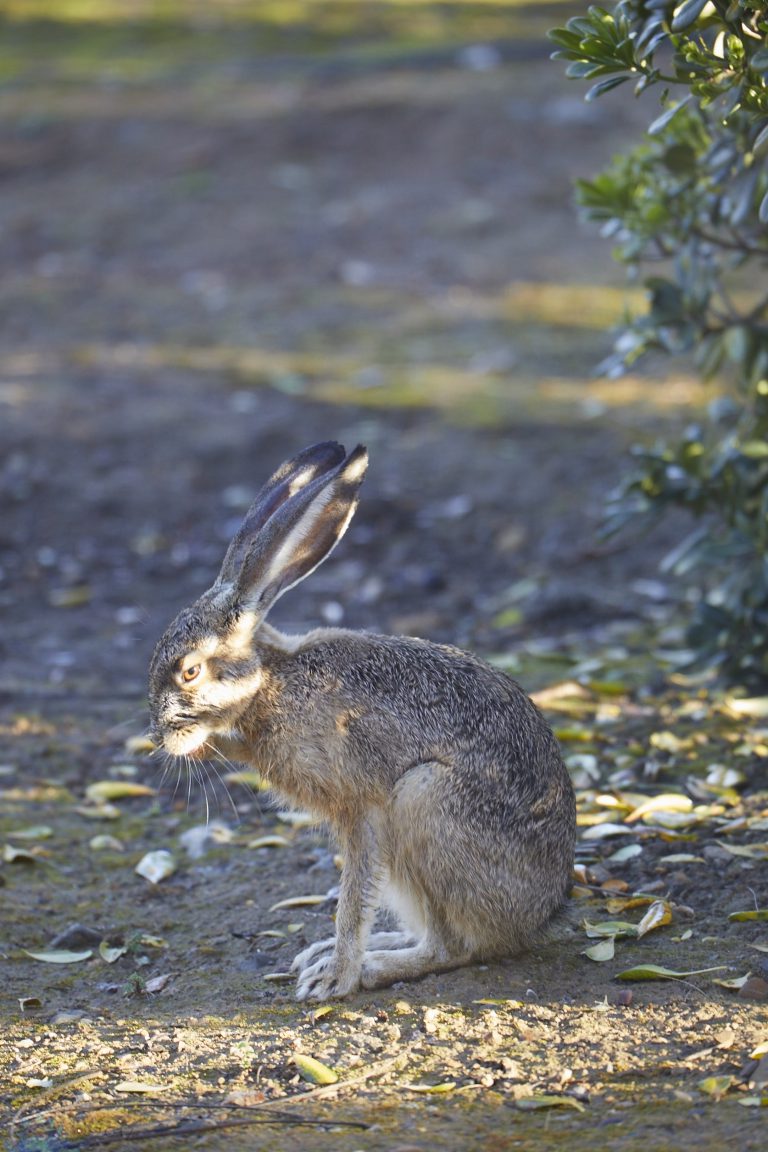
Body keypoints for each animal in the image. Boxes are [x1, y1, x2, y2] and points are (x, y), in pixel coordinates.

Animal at [148, 441, 576, 1001]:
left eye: (190, 671)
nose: (160, 737)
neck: (272, 682)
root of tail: (541, 915)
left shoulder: (362, 807)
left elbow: (353, 900)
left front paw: (336, 979)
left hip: (423, 802)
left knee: (452, 948)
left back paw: (364, 967)